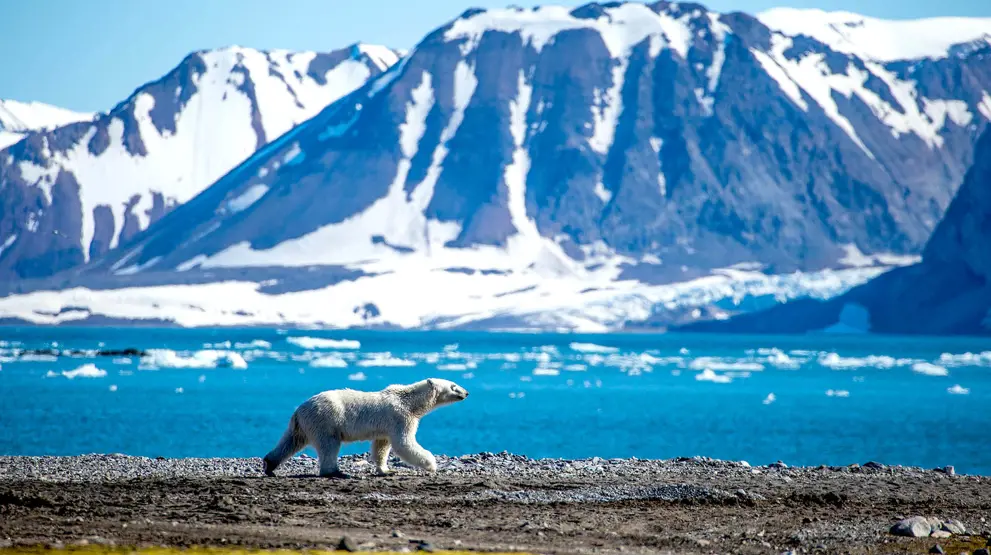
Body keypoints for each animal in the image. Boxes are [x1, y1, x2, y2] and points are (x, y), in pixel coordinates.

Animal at [260, 378, 468, 478]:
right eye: (453, 385)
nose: (466, 392)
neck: (410, 402)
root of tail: (299, 410)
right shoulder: (400, 417)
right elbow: (404, 443)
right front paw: (431, 464)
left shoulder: (386, 426)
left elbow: (382, 446)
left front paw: (386, 470)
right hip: (326, 420)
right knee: (329, 445)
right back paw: (336, 472)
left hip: (303, 425)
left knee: (291, 441)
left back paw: (270, 465)